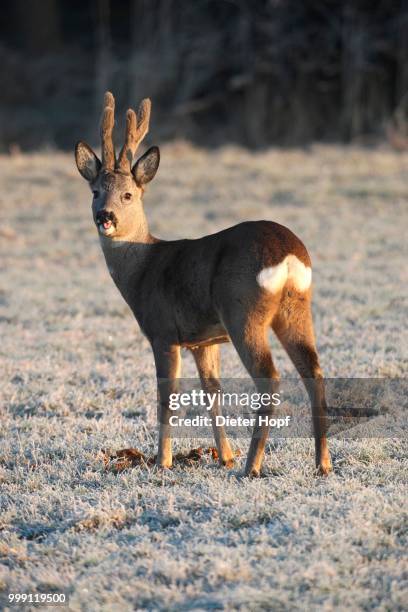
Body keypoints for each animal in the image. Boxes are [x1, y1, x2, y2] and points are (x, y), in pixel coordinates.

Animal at [75, 91, 332, 476]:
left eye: (128, 195)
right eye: (94, 192)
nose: (105, 217)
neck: (143, 269)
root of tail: (288, 255)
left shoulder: (163, 331)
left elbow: (167, 397)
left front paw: (162, 462)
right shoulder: (203, 340)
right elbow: (213, 392)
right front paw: (224, 456)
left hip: (242, 311)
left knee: (270, 376)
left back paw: (252, 467)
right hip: (297, 307)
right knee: (313, 372)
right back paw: (322, 464)